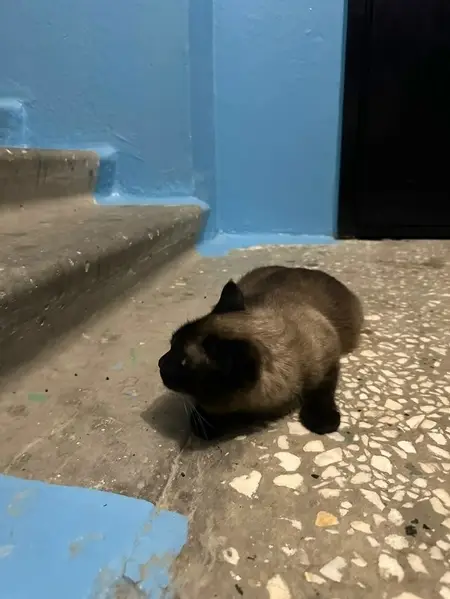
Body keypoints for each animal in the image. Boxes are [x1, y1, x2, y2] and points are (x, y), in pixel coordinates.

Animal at [158, 265, 363, 440]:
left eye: (183, 362)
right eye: (172, 344)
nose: (160, 362)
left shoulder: (329, 358)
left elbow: (323, 390)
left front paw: (321, 420)